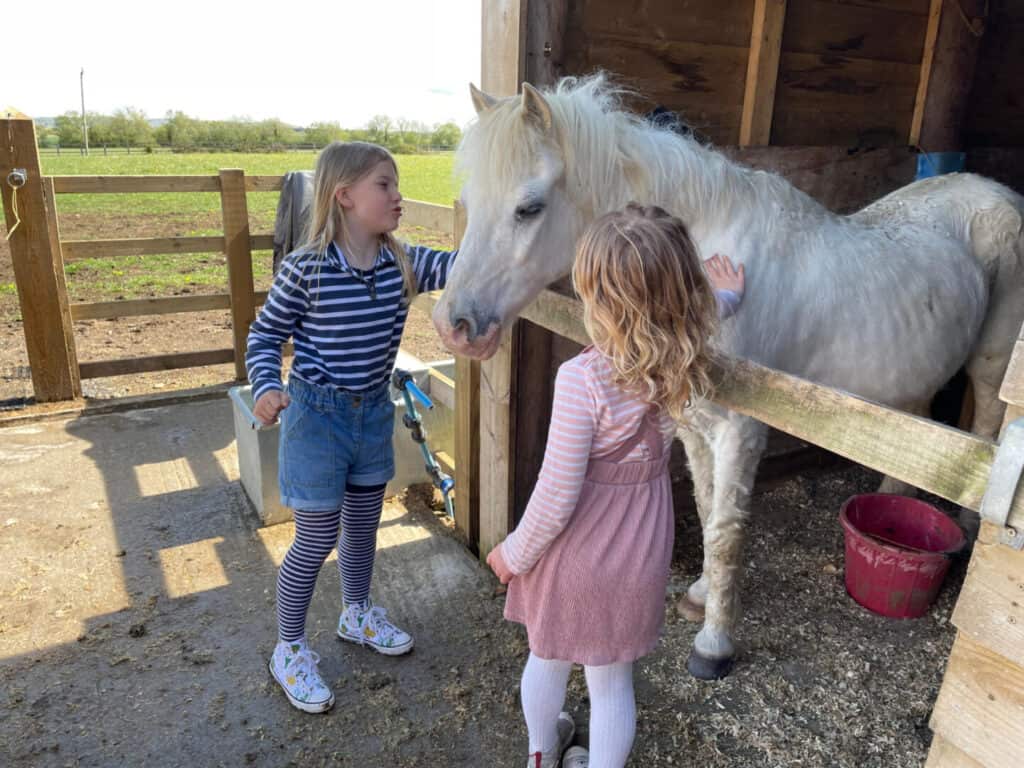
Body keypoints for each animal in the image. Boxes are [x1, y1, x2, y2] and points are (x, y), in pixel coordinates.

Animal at [436, 76, 1024, 679]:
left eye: (528, 207)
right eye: (472, 202)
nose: (454, 325)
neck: (701, 260)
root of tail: (997, 193)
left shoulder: (741, 429)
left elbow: (724, 532)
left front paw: (714, 644)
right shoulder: (694, 423)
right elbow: (704, 503)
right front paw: (700, 595)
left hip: (992, 364)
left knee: (986, 427)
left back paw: (970, 540)